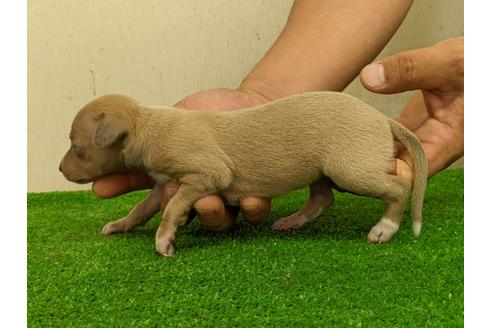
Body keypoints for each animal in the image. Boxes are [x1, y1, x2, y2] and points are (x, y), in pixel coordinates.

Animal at [58, 92, 426, 256]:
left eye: (76, 145)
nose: (60, 168)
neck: (147, 123)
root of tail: (382, 119)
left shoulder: (207, 173)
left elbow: (174, 205)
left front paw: (165, 238)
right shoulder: (162, 183)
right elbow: (142, 207)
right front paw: (121, 224)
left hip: (349, 167)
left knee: (398, 186)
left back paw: (385, 228)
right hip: (321, 169)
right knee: (323, 198)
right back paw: (292, 221)